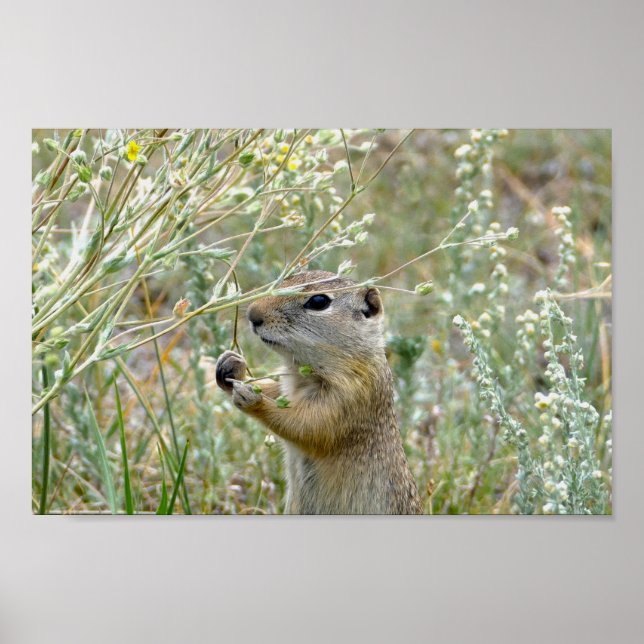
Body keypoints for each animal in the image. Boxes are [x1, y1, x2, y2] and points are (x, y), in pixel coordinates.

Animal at [215, 270, 423, 515]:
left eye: (318, 301)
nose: (252, 314)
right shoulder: (286, 387)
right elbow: (273, 390)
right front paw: (231, 366)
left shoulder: (348, 398)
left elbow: (307, 425)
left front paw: (252, 399)